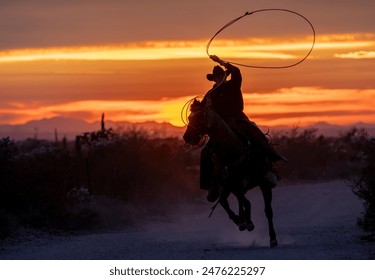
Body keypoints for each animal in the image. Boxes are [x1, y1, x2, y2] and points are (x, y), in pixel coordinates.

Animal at [184, 98, 280, 247]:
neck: (233, 150)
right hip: (224, 187)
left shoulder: (262, 183)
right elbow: (240, 201)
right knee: (226, 201)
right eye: (189, 117)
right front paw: (242, 221)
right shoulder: (231, 184)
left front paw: (273, 238)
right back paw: (242, 220)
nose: (187, 137)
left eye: (201, 116)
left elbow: (267, 210)